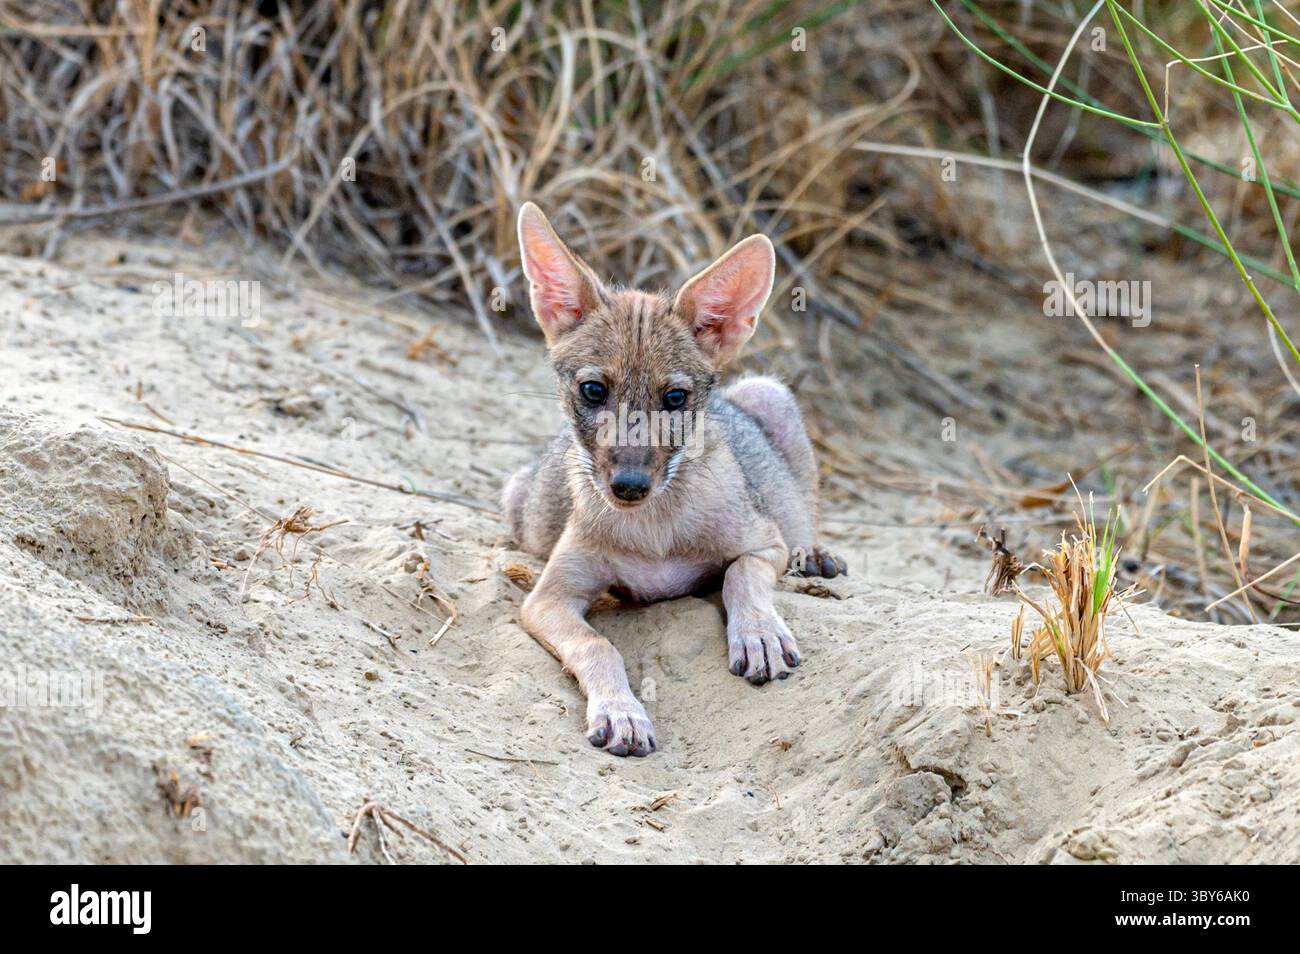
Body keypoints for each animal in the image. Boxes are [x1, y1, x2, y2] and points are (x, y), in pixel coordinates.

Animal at [503, 202, 845, 757]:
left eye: (676, 399)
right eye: (594, 390)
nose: (628, 486)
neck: (654, 529)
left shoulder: (764, 543)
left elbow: (739, 576)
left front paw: (759, 634)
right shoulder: (547, 599)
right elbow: (599, 645)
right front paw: (621, 712)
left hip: (771, 396)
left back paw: (815, 556)